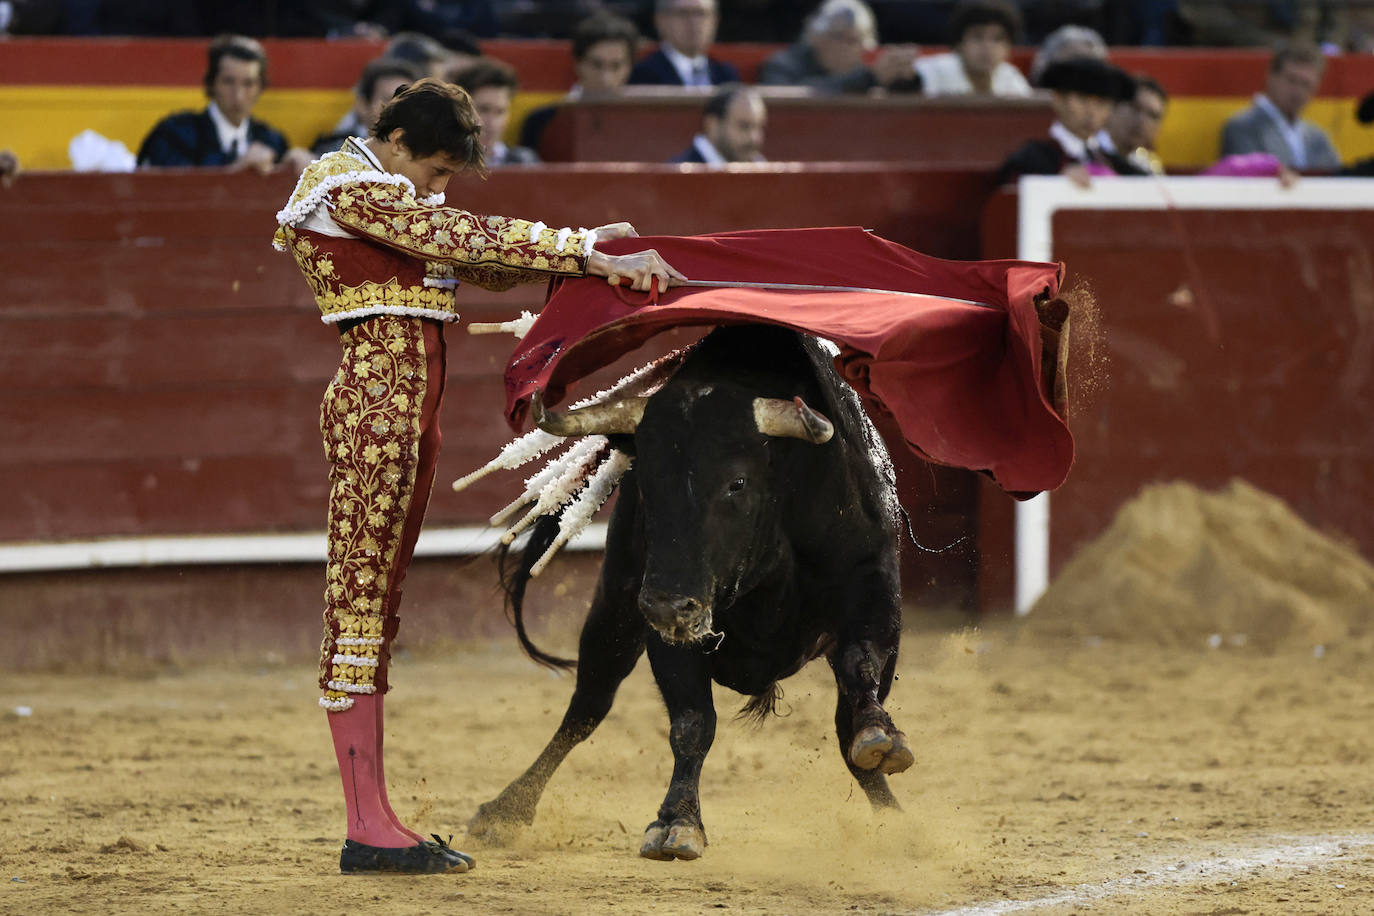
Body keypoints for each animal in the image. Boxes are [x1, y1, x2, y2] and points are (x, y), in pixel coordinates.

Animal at [469, 324, 912, 862]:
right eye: (644, 483)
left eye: (737, 483)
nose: (665, 603)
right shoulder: (668, 627)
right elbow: (691, 721)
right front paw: (676, 823)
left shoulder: (874, 591)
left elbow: (859, 678)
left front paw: (880, 745)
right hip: (616, 608)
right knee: (588, 705)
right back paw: (505, 810)